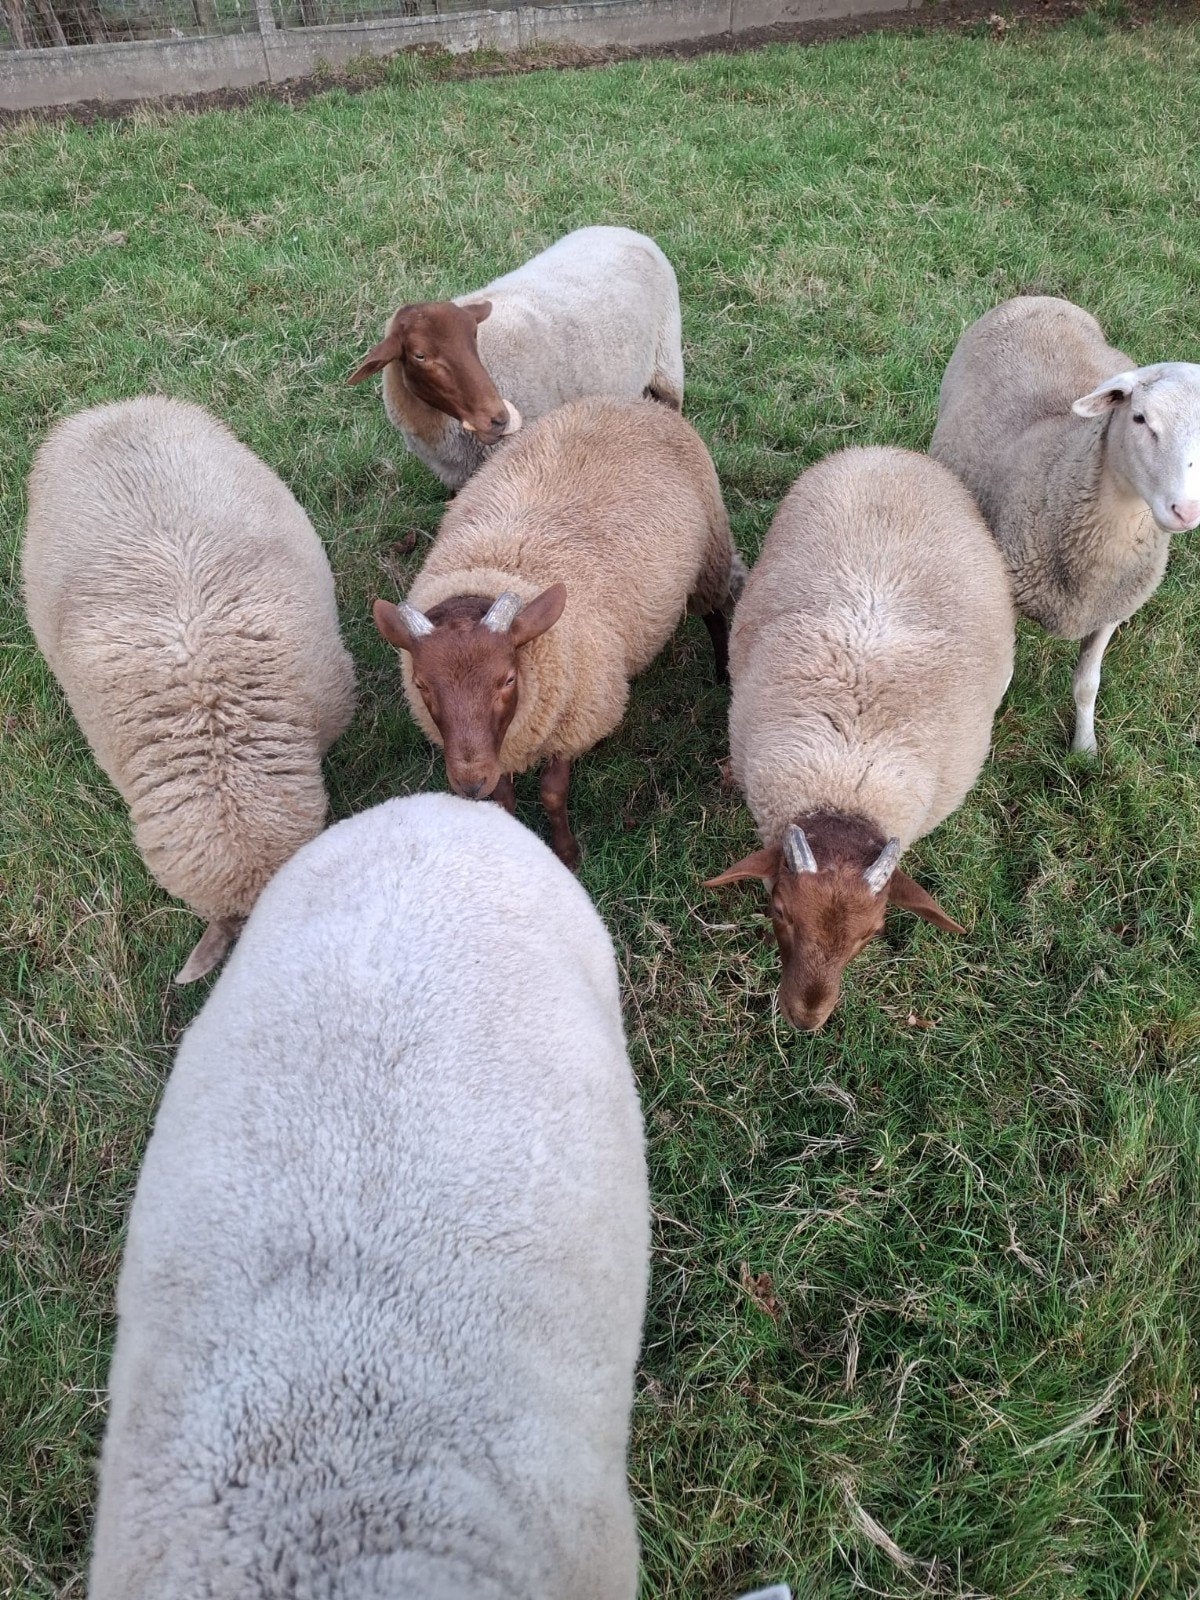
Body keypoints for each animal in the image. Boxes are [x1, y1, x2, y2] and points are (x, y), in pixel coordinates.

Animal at [371, 395, 741, 868]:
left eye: (508, 679)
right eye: (420, 685)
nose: (470, 784)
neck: (493, 571)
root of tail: (632, 401)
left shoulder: (574, 716)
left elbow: (551, 793)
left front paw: (567, 854)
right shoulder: (506, 743)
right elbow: (505, 797)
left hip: (709, 554)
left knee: (713, 613)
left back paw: (721, 670)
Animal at [930, 295, 1200, 755]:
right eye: (1140, 418)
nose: (1186, 510)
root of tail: (1039, 297)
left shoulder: (1111, 608)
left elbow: (1087, 684)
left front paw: (1084, 748)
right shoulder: (1006, 591)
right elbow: (999, 680)